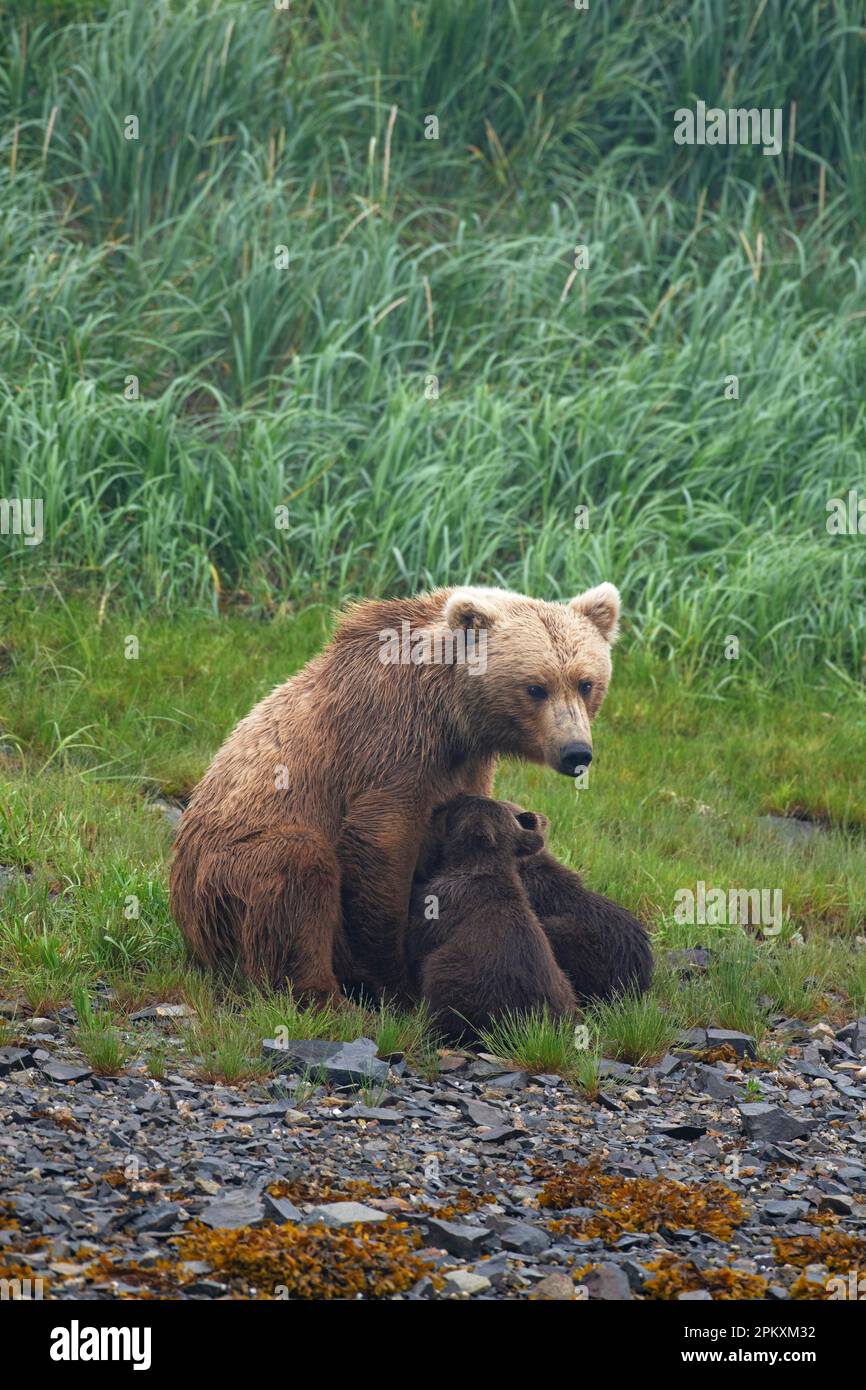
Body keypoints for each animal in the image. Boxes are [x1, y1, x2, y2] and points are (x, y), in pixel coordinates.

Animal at [170, 581, 621, 1004]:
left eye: (585, 683)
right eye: (535, 687)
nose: (576, 752)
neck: (451, 714)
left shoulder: (465, 763)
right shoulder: (390, 739)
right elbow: (381, 842)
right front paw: (392, 977)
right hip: (223, 876)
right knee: (295, 869)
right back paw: (325, 996)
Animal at [406, 795, 577, 1041]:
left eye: (466, 804)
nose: (460, 796)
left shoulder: (439, 904)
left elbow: (417, 936)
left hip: (452, 974)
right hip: (563, 985)